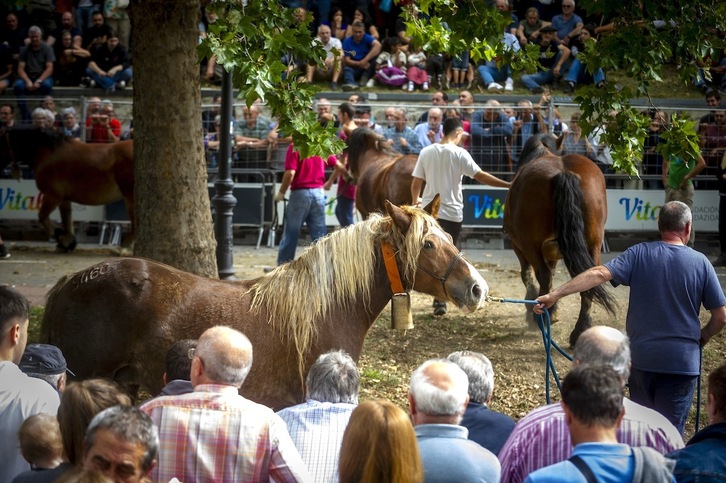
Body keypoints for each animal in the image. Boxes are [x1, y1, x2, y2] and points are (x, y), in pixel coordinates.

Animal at [0, 126, 135, 251]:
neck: (49, 154)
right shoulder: (64, 198)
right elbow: (67, 219)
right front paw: (69, 241)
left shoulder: (53, 195)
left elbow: (42, 216)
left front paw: (60, 237)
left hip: (129, 196)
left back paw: (124, 248)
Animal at [506, 132, 620, 346]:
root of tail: (563, 173)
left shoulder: (519, 246)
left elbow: (528, 275)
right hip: (593, 242)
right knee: (589, 277)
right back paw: (580, 329)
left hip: (530, 245)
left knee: (543, 275)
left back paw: (542, 316)